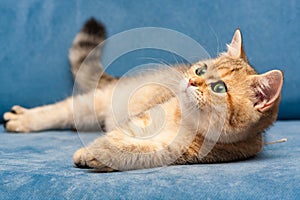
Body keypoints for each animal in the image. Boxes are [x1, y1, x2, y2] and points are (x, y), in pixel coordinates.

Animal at [3, 18, 282, 172]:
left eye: (219, 88)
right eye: (201, 69)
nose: (192, 80)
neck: (185, 123)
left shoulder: (174, 152)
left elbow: (132, 150)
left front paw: (98, 157)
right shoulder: (141, 120)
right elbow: (118, 138)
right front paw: (91, 151)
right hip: (92, 104)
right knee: (59, 111)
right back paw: (21, 119)